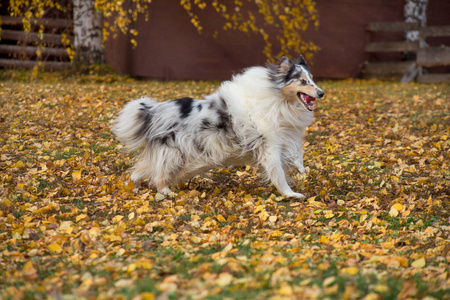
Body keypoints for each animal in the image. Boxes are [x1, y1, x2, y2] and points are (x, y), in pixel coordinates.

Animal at [112, 55, 324, 198]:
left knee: (141, 170)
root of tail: (155, 111)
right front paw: (291, 194)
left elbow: (297, 153)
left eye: (312, 79)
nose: (321, 93)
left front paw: (300, 168)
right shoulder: (269, 146)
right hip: (174, 153)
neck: (277, 97)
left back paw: (132, 187)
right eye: (302, 81)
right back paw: (167, 192)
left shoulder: (285, 135)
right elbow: (278, 172)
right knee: (158, 175)